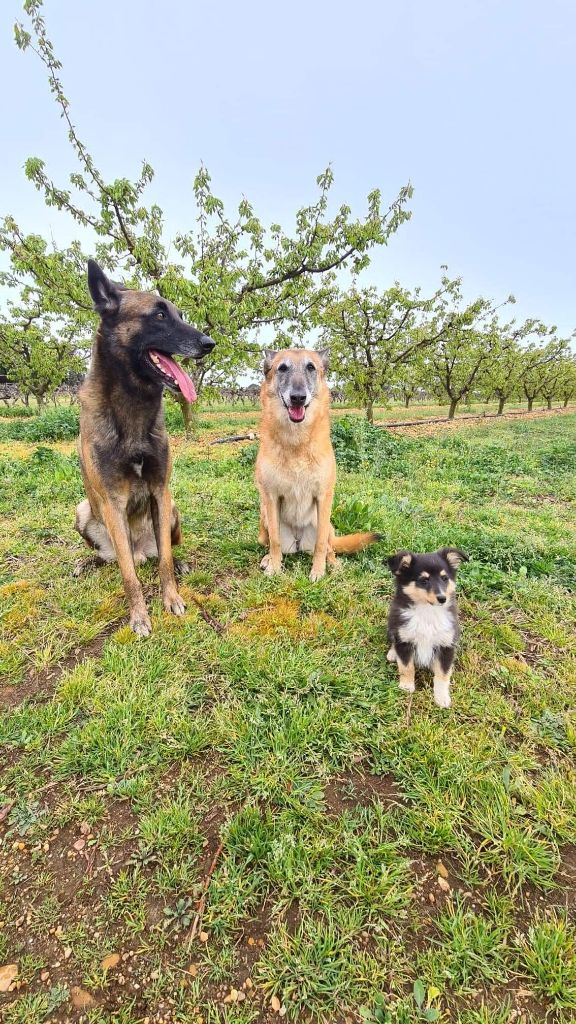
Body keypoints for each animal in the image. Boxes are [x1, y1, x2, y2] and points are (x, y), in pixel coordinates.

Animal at [73, 260, 213, 634]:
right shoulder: (112, 501)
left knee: (162, 551)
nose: (209, 343)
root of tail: (140, 549)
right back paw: (88, 564)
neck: (134, 406)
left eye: (180, 314)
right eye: (159, 315)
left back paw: (177, 564)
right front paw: (139, 616)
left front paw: (172, 598)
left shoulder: (160, 490)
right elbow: (128, 575)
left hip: (172, 509)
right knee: (115, 559)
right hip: (84, 512)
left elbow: (164, 559)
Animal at [253, 348, 379, 581]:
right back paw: (268, 559)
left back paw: (334, 565)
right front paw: (275, 567)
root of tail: (298, 543)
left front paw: (319, 571)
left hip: (326, 524)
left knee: (329, 547)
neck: (296, 442)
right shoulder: (271, 497)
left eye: (310, 367)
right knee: (270, 542)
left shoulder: (323, 496)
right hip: (264, 515)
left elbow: (321, 544)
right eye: (282, 368)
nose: (298, 398)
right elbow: (274, 541)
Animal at [385, 548, 467, 708]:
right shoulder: (405, 640)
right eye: (424, 580)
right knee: (393, 638)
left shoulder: (446, 645)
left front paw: (442, 698)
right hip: (393, 623)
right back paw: (392, 653)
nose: (442, 598)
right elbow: (406, 667)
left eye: (444, 578)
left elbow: (443, 674)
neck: (428, 612)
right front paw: (407, 686)